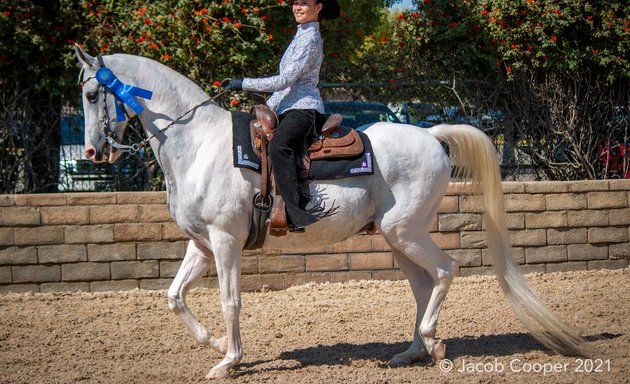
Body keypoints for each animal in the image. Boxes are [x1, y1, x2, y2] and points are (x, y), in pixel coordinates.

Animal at [75, 45, 592, 378]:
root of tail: (431, 134)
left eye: (91, 95)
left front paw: (229, 361)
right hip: (396, 236)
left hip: (405, 231)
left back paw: (434, 341)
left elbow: (229, 301)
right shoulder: (200, 244)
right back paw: (412, 352)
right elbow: (174, 297)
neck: (200, 143)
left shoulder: (224, 241)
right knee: (423, 285)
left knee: (446, 269)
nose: (94, 152)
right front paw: (219, 346)